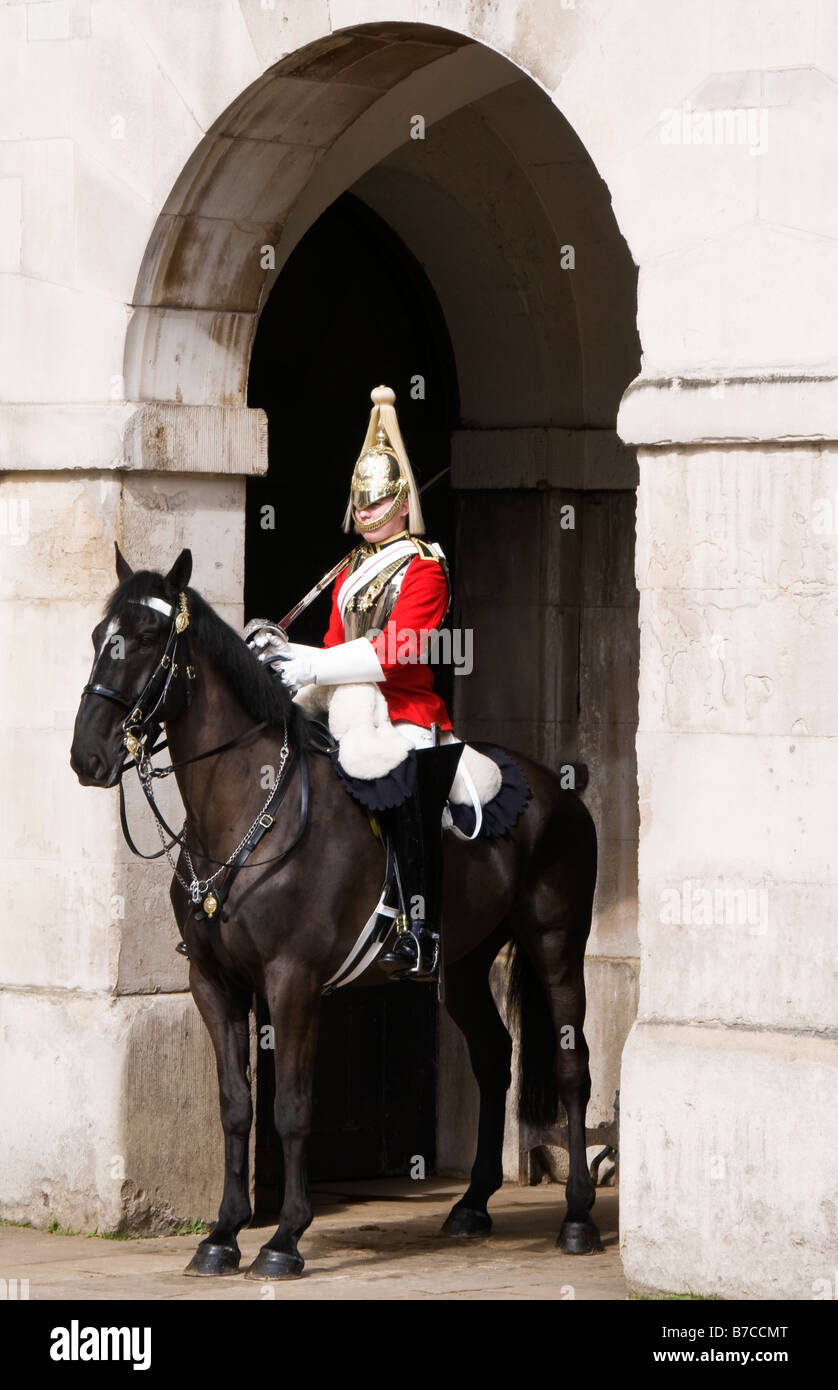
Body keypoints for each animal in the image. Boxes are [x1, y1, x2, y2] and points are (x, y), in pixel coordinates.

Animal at [70, 544, 597, 1278]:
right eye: (99, 636)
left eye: (148, 638)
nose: (86, 756)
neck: (243, 809)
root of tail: (561, 787)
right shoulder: (215, 982)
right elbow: (235, 1105)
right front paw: (223, 1234)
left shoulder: (292, 980)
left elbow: (290, 1107)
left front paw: (284, 1238)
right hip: (464, 961)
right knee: (495, 1056)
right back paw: (471, 1206)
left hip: (556, 945)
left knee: (574, 1068)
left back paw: (578, 1217)